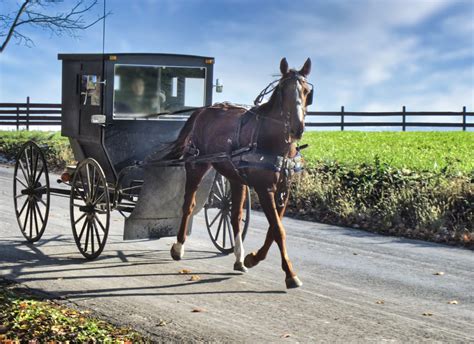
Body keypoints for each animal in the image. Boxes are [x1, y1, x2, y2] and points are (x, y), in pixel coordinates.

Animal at [163, 58, 312, 288]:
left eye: (306, 91)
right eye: (283, 91)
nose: (298, 128)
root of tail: (202, 111)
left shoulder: (284, 190)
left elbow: (274, 228)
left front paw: (253, 258)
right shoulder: (264, 189)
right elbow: (278, 229)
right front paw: (290, 274)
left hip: (235, 177)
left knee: (234, 215)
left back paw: (239, 258)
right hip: (196, 165)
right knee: (188, 205)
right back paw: (179, 247)